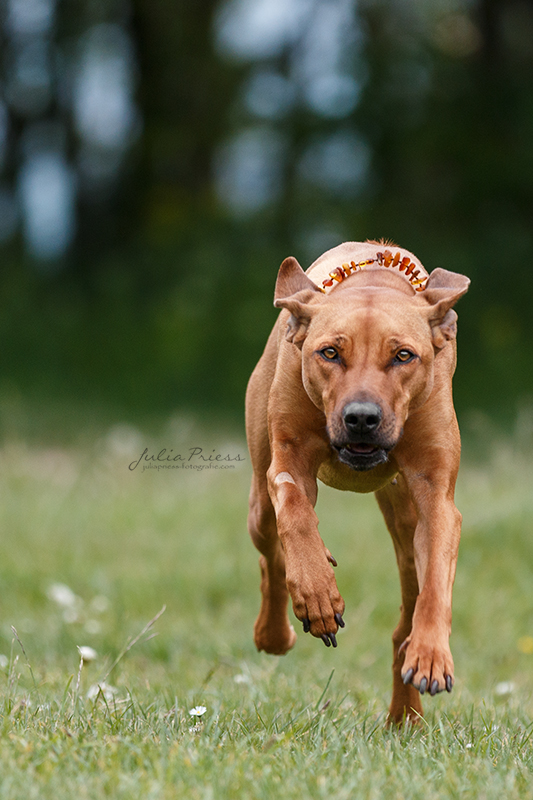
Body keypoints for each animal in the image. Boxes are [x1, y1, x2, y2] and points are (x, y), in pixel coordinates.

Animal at [243, 241, 468, 720]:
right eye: (329, 353)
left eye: (403, 355)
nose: (361, 417)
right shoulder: (288, 462)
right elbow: (295, 511)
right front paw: (317, 594)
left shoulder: (437, 497)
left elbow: (437, 581)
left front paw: (432, 656)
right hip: (258, 505)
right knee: (271, 555)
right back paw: (274, 634)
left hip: (405, 528)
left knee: (406, 612)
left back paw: (406, 716)